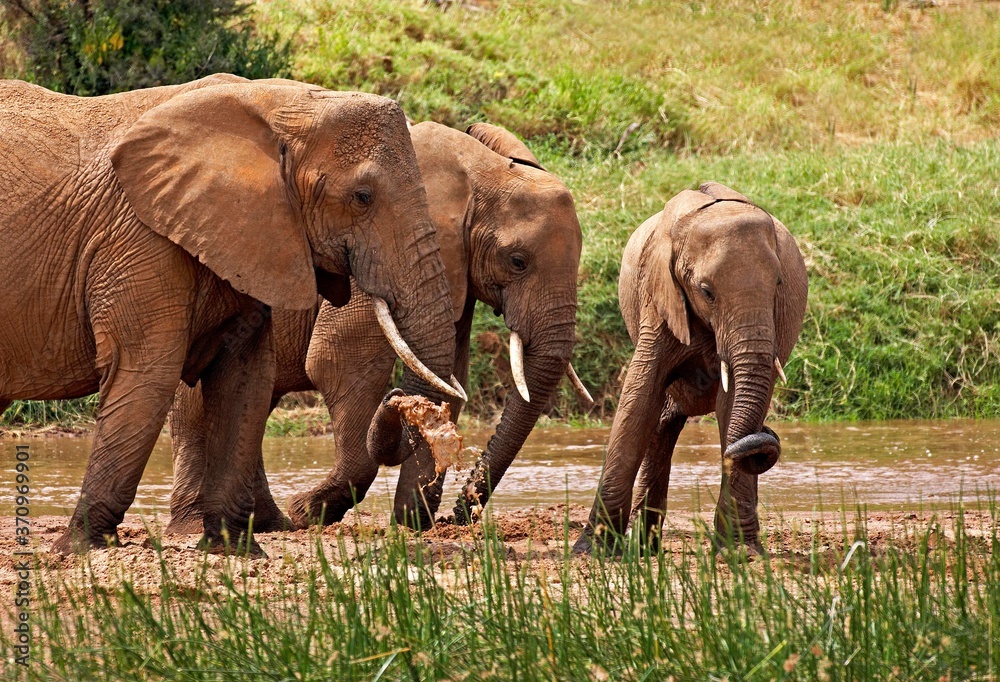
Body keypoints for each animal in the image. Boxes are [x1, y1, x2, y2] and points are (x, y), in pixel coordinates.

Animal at [0, 74, 460, 552]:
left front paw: (234, 549)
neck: (277, 103)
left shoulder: (248, 238)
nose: (397, 397)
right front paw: (81, 549)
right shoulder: (139, 237)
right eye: (362, 197)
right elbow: (147, 374)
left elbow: (246, 379)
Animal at [167, 121, 584, 532]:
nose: (463, 513)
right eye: (518, 261)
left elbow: (448, 376)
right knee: (198, 407)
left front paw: (412, 524)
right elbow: (337, 360)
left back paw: (271, 523)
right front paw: (310, 511)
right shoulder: (373, 250)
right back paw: (200, 525)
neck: (482, 170)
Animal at [572, 183, 804, 556]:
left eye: (779, 286)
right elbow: (638, 400)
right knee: (661, 421)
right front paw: (592, 552)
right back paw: (643, 548)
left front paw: (740, 553)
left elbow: (730, 403)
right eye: (707, 292)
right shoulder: (659, 300)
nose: (767, 433)